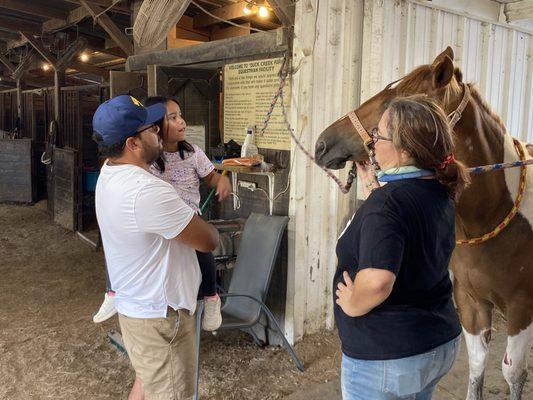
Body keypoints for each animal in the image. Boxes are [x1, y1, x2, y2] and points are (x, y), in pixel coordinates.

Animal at [312, 47, 532, 400]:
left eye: (393, 101)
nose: (322, 143)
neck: (496, 213)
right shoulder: (471, 303)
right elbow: (477, 365)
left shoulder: (521, 309)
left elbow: (513, 374)